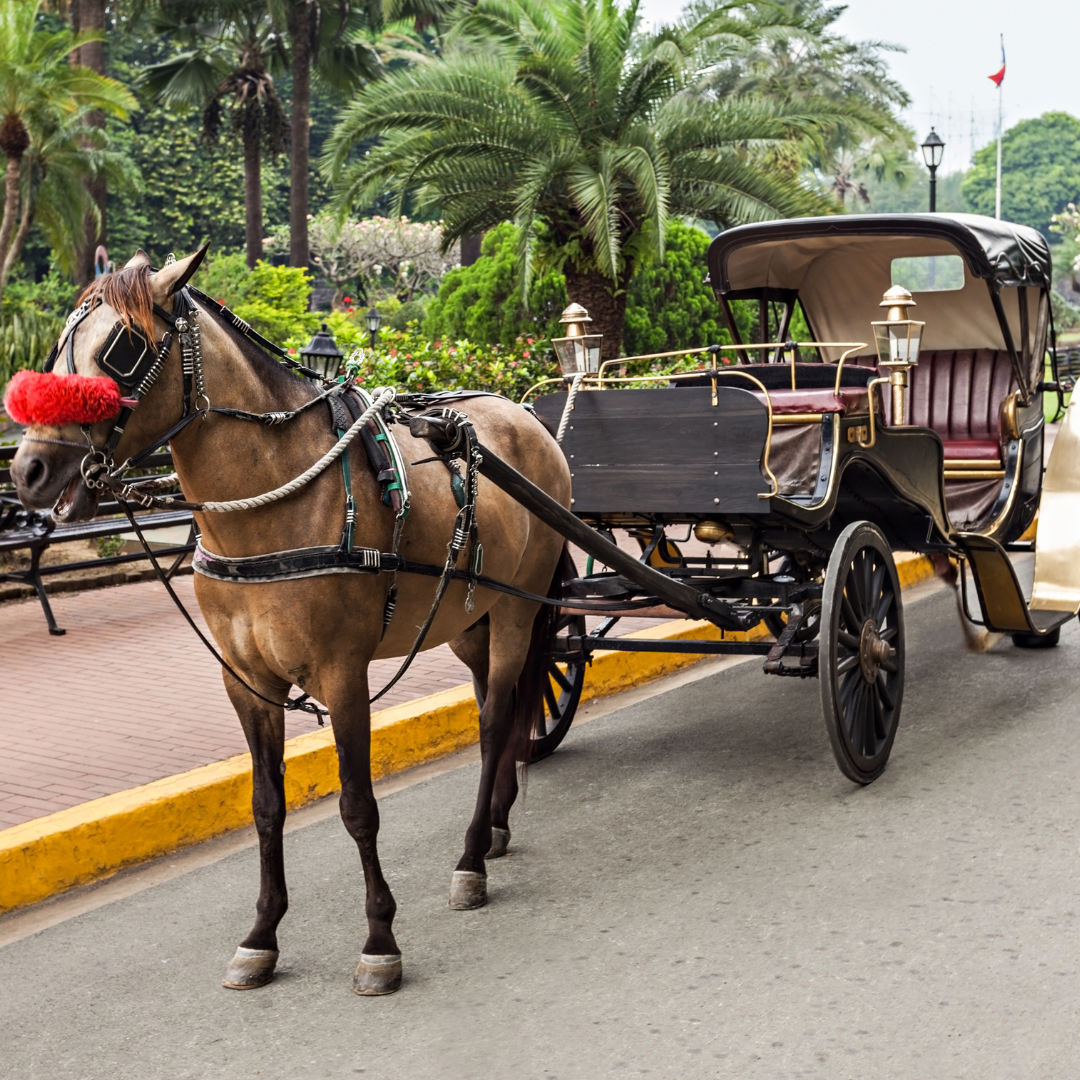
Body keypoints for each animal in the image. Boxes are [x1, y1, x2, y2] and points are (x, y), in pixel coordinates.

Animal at [10, 247, 574, 993]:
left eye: (122, 349)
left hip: (516, 608)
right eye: (56, 348)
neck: (270, 502)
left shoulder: (343, 674)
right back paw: (497, 826)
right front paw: (261, 935)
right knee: (497, 707)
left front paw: (379, 940)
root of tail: (526, 416)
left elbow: (357, 805)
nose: (29, 469)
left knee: (492, 722)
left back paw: (471, 858)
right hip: (468, 618)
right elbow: (265, 805)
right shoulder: (246, 680)